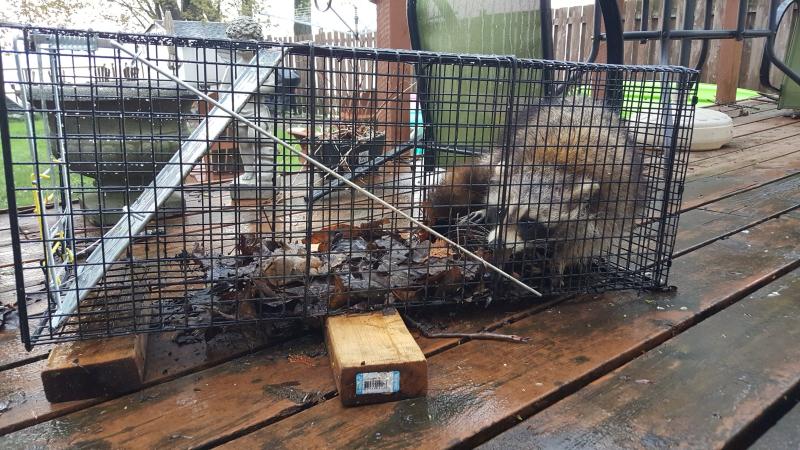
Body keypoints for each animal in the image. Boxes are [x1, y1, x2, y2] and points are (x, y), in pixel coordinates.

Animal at [426, 95, 645, 280]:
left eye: (529, 222)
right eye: (500, 210)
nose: (497, 243)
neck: (549, 168)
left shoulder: (609, 201)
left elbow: (589, 238)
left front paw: (560, 261)